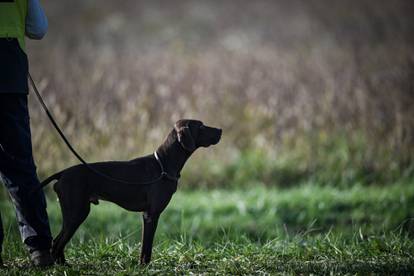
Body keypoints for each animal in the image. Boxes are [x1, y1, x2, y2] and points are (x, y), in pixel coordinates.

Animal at [41, 119, 223, 266]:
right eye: (201, 126)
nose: (220, 130)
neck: (163, 164)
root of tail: (62, 173)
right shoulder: (150, 215)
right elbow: (146, 247)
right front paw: (144, 266)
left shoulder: (147, 215)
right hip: (77, 213)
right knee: (57, 243)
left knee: (57, 243)